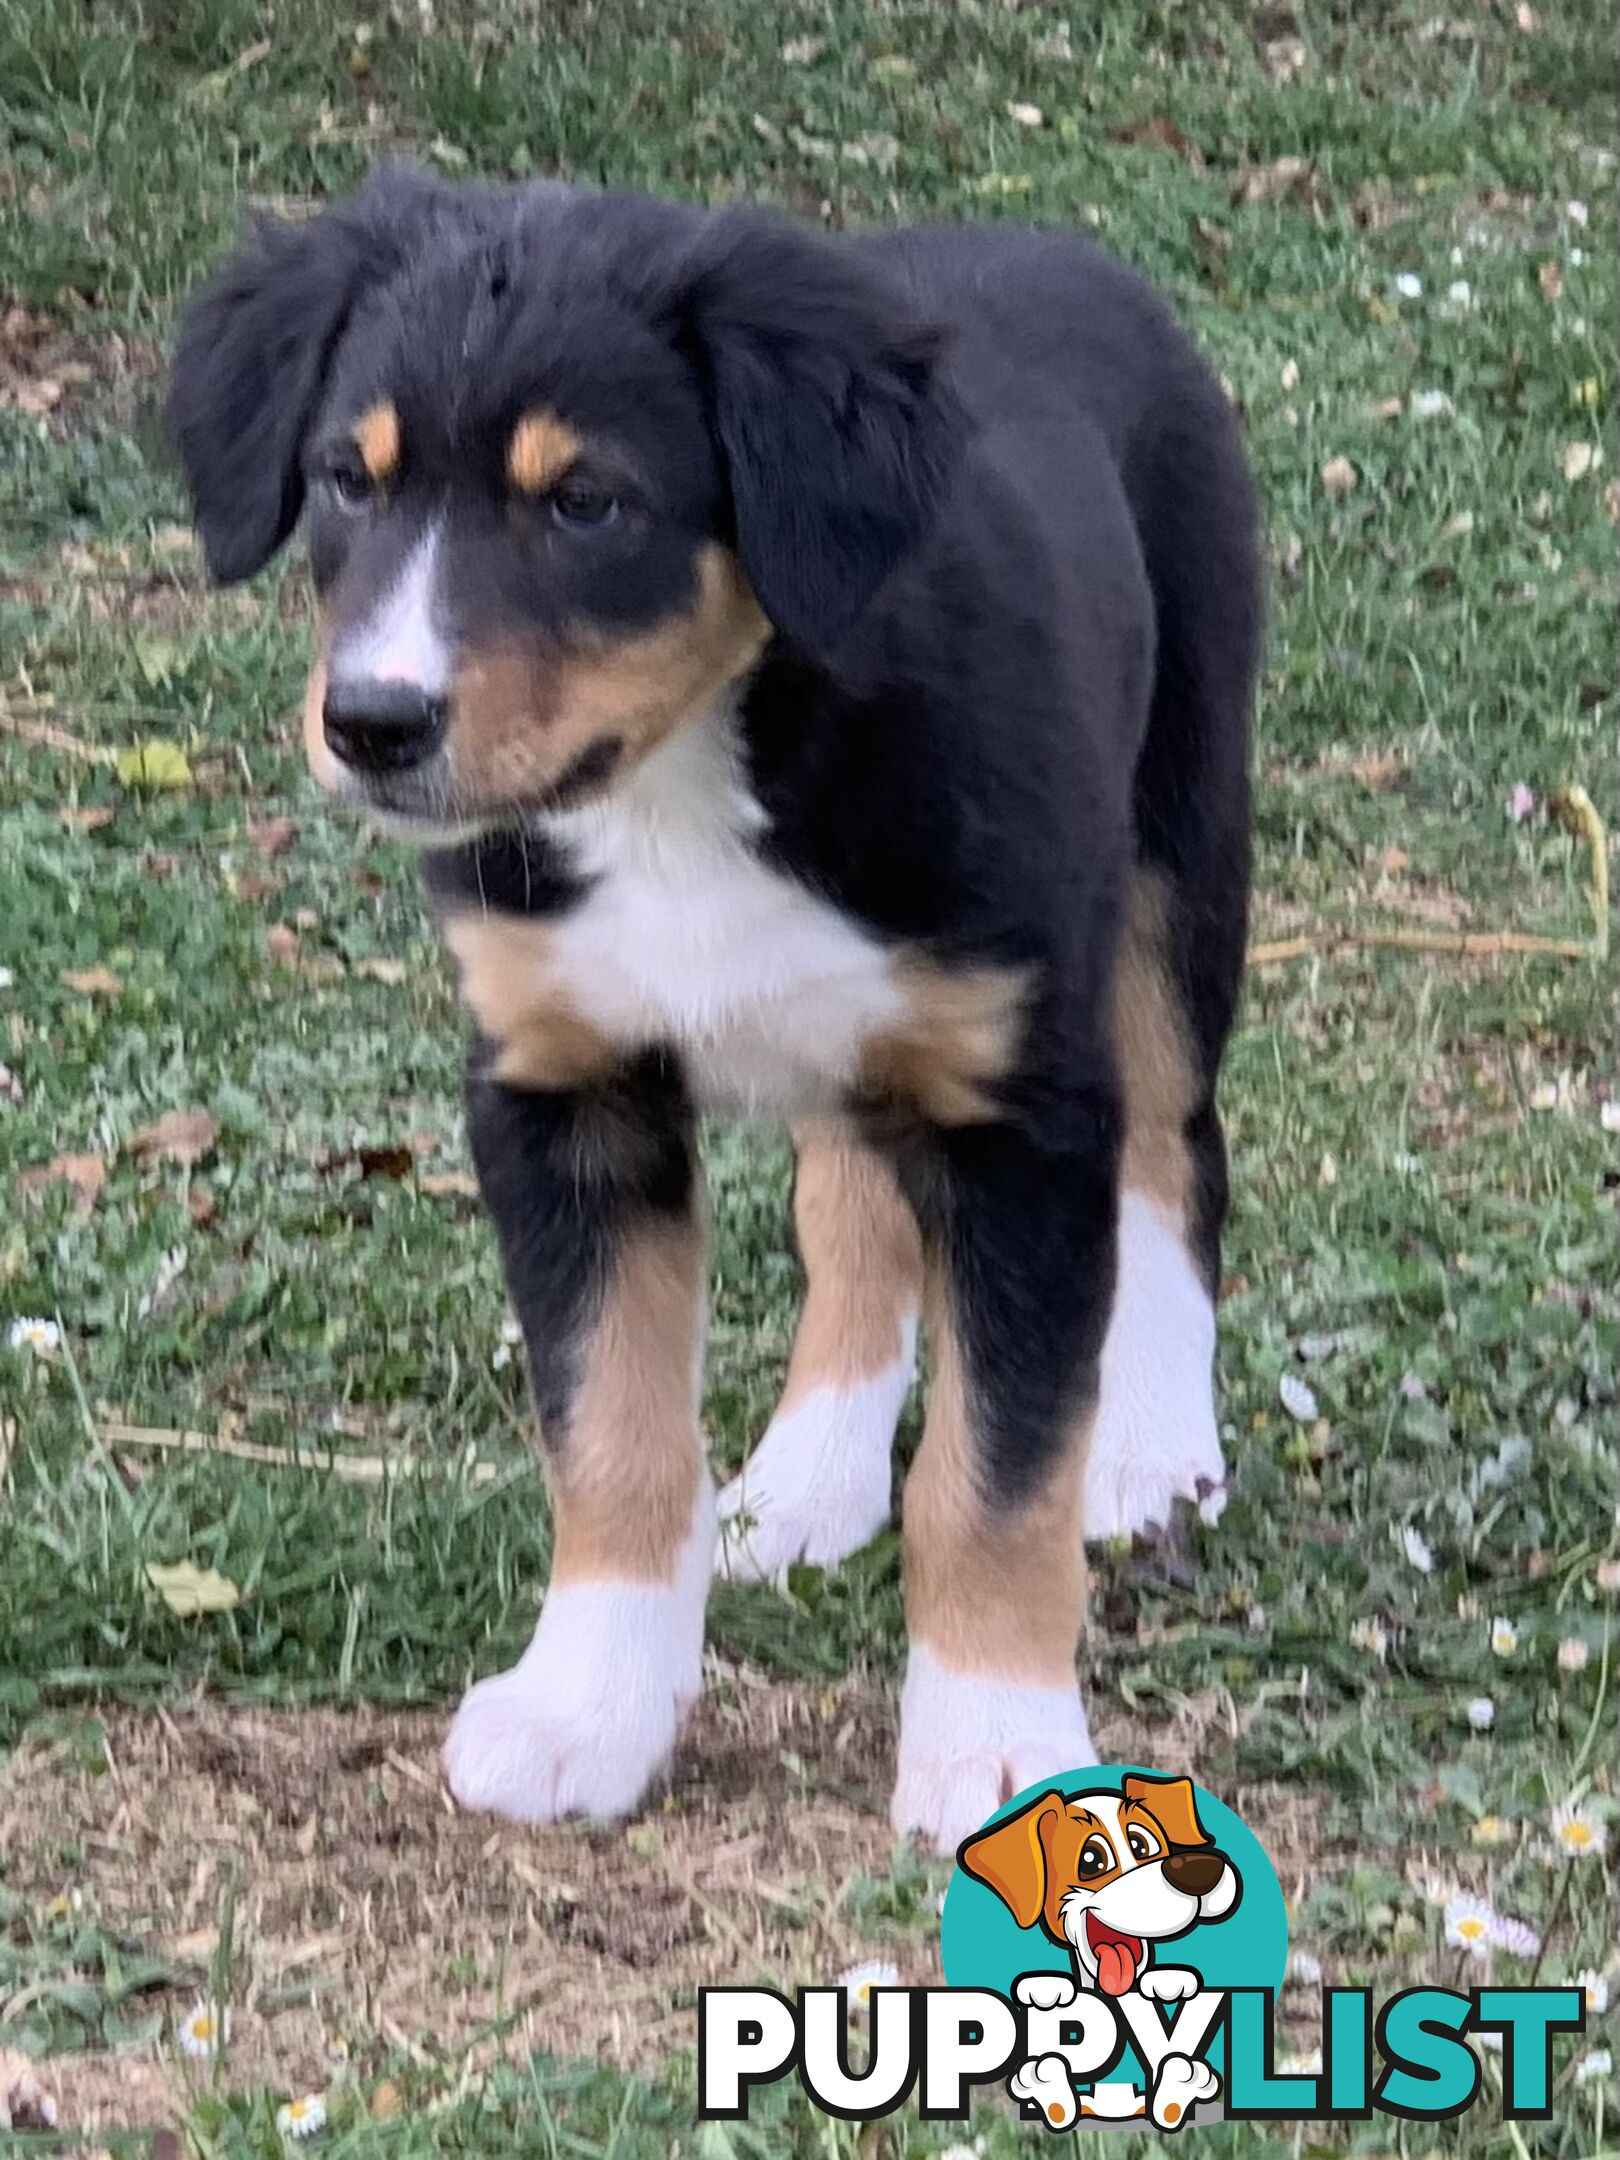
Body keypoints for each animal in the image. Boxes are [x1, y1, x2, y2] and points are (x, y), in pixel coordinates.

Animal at [171, 172, 1261, 1857]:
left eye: (587, 504)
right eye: (347, 480)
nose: (373, 723)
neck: (694, 766)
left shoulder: (1019, 1111)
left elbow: (998, 1478)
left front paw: (1006, 1754)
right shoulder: (561, 1093)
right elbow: (610, 1430)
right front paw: (586, 1708)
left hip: (1171, 864)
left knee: (1173, 1153)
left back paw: (1152, 1446)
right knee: (859, 1206)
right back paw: (812, 1479)